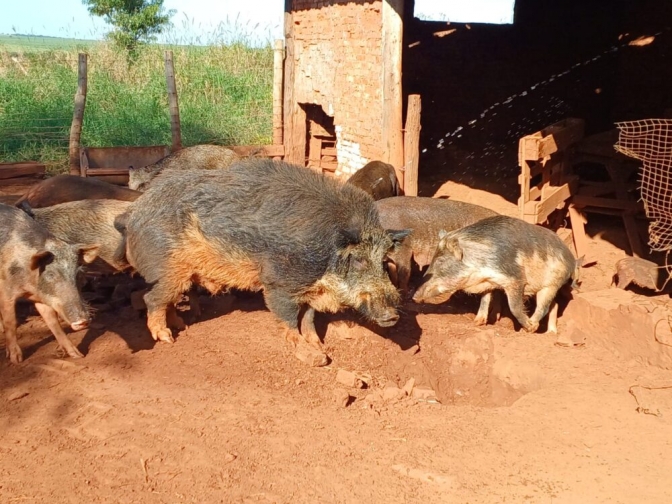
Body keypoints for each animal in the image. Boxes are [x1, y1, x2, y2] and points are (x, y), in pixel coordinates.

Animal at [0, 201, 100, 362]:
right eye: (51, 274)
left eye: (78, 274)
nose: (83, 321)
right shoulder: (6, 290)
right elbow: (11, 322)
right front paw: (16, 360)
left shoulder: (42, 297)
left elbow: (53, 322)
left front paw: (77, 355)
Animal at [412, 215, 580, 332]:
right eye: (432, 259)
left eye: (441, 261)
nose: (414, 296)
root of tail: (572, 260)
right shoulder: (488, 282)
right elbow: (485, 299)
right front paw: (478, 322)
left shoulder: (514, 278)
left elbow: (514, 306)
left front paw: (528, 328)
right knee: (555, 304)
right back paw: (551, 333)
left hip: (551, 284)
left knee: (544, 306)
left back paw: (534, 327)